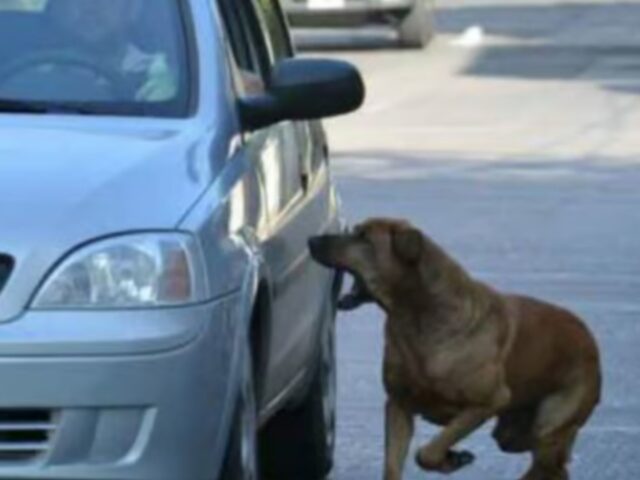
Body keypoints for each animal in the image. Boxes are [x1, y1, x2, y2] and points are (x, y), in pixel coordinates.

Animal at [308, 218, 600, 480]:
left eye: (363, 238)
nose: (311, 240)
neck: (416, 316)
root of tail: (589, 339)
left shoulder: (488, 402)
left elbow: (428, 452)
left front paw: (450, 459)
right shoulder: (398, 404)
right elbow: (393, 466)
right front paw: (451, 458)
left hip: (550, 420)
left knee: (551, 463)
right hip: (511, 432)